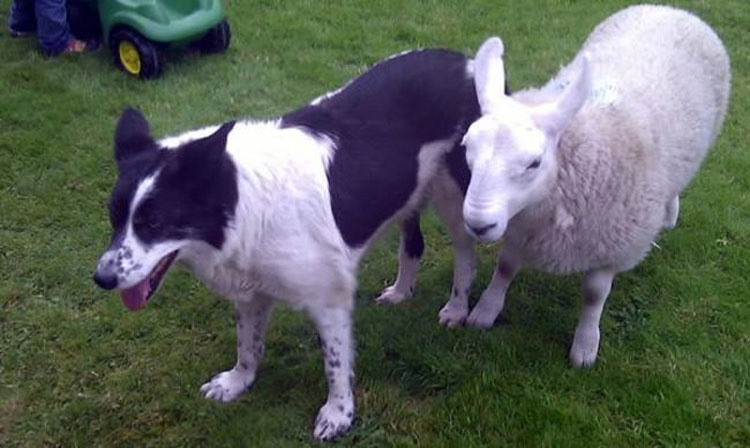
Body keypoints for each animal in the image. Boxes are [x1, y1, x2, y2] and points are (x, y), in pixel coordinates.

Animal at [94, 47, 506, 440]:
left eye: (154, 223)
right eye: (114, 217)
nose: (102, 279)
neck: (242, 198)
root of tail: (466, 61)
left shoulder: (330, 297)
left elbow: (335, 362)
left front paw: (339, 414)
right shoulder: (251, 289)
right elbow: (247, 344)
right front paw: (238, 381)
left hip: (456, 194)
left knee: (465, 252)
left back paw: (457, 308)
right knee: (413, 243)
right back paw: (402, 291)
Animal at [456, 4, 732, 368]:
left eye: (534, 163)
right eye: (466, 147)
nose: (477, 224)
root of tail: (668, 8)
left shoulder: (613, 248)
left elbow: (593, 296)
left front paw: (585, 346)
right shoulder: (519, 232)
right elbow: (505, 268)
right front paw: (485, 311)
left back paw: (670, 214)